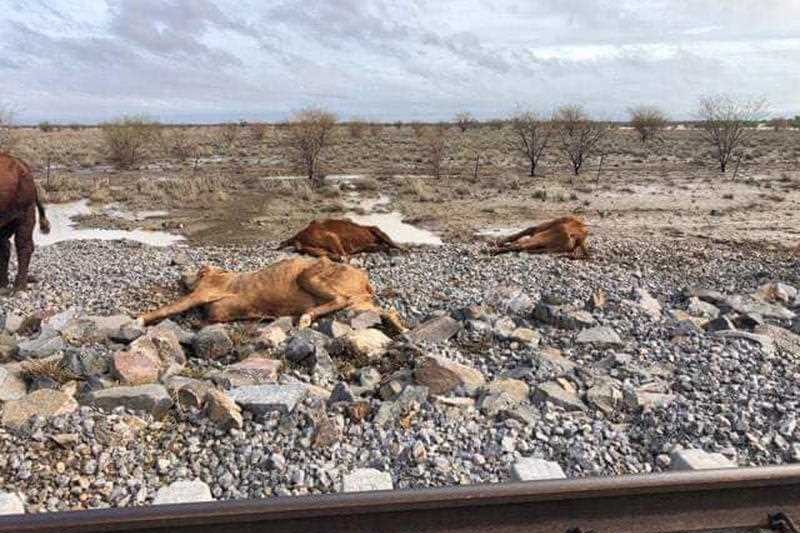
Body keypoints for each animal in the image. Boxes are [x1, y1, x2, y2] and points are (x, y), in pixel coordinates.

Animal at [137, 255, 406, 332]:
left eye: (201, 270)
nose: (180, 275)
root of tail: (365, 280)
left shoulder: (203, 292)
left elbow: (171, 307)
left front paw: (139, 319)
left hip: (312, 272)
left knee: (338, 299)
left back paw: (306, 317)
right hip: (360, 304)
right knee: (385, 311)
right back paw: (400, 327)